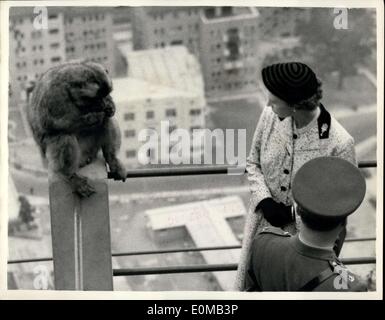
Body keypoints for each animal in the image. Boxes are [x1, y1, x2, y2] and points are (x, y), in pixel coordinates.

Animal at [28, 60, 127, 198]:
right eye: (96, 98)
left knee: (107, 120)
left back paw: (112, 160)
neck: (69, 91)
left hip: (92, 148)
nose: (103, 103)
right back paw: (71, 176)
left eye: (105, 94)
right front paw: (93, 117)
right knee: (63, 136)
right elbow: (49, 122)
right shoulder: (54, 96)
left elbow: (108, 114)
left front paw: (110, 106)